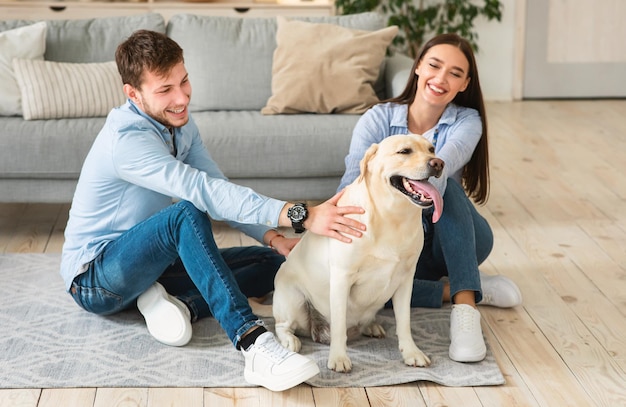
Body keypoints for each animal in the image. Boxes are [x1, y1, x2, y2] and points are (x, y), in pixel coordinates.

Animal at [270, 135, 444, 372]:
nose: (438, 163)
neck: (392, 218)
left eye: (431, 149)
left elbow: (404, 322)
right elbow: (339, 324)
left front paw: (411, 352)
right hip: (293, 300)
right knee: (282, 325)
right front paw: (338, 357)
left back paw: (371, 326)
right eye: (404, 151)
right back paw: (290, 340)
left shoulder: (406, 280)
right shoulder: (342, 277)